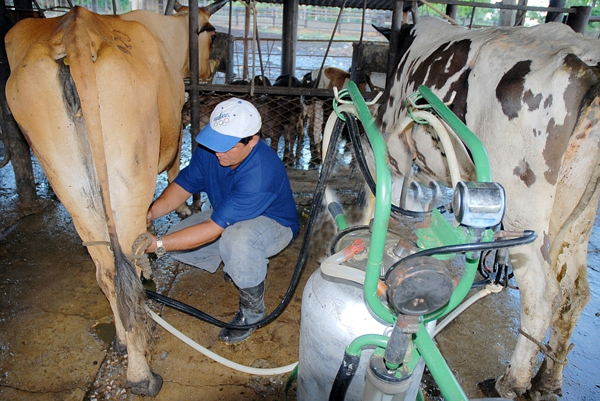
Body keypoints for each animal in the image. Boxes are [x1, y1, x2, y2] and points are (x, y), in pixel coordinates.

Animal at [5, 2, 225, 396]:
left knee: (106, 268)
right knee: (126, 261)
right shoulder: (172, 130)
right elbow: (174, 173)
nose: (210, 69)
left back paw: (124, 340)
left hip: (68, 180)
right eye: (209, 31)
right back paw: (141, 374)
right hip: (129, 167)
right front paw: (182, 211)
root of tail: (75, 30)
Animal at [378, 18, 600, 396]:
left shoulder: (397, 142)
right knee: (574, 292)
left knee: (542, 293)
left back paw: (511, 381)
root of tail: (586, 64)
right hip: (576, 216)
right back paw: (547, 381)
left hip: (524, 207)